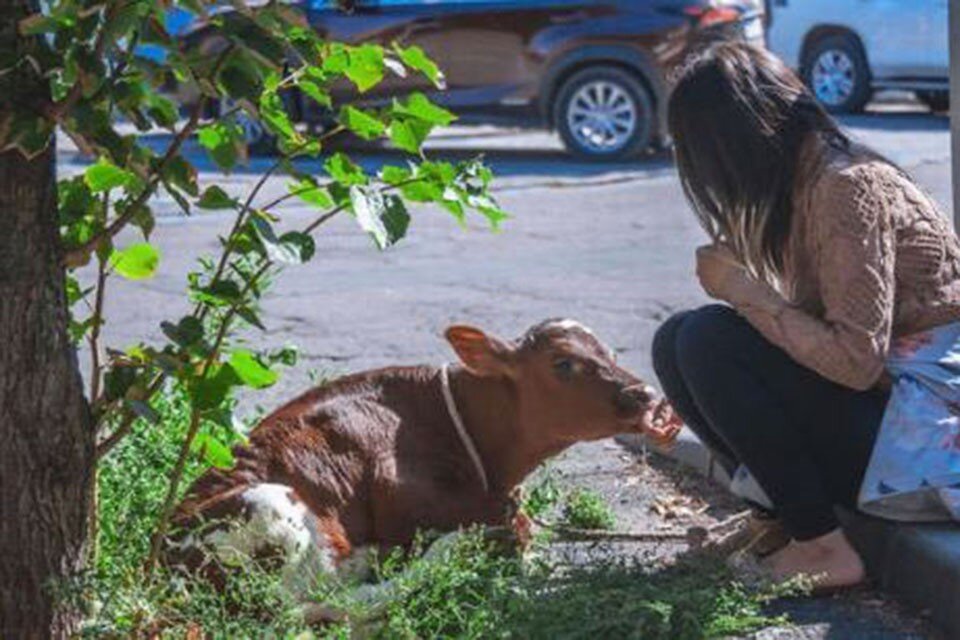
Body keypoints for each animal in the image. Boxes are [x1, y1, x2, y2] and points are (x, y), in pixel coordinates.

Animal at [165, 322, 680, 616]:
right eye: (564, 363)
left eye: (610, 353)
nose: (648, 397)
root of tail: (163, 561)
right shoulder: (403, 499)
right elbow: (518, 530)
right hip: (272, 506)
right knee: (321, 604)